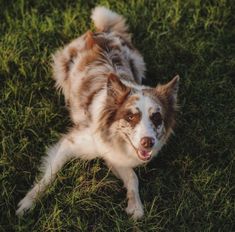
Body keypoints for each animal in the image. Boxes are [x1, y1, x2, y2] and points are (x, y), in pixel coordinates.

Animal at [15, 5, 179, 219]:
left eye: (157, 117)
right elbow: (49, 175)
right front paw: (28, 203)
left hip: (138, 62)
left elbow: (132, 177)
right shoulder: (70, 143)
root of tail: (101, 32)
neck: (110, 132)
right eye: (130, 116)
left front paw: (135, 206)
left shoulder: (113, 154)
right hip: (61, 67)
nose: (148, 142)